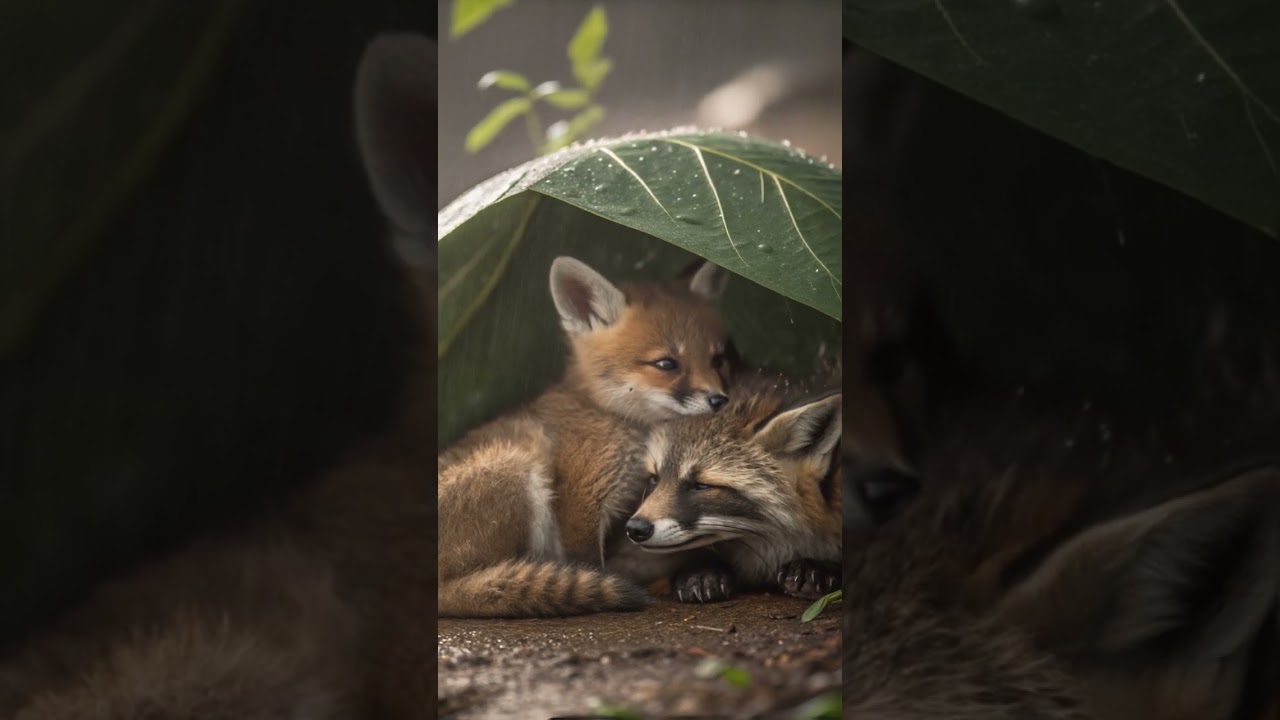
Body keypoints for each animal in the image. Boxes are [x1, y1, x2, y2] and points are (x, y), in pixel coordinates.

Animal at [437, 254, 733, 618]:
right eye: (667, 364)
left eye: (718, 359)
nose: (719, 400)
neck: (606, 413)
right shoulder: (584, 499)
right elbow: (591, 563)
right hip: (515, 468)